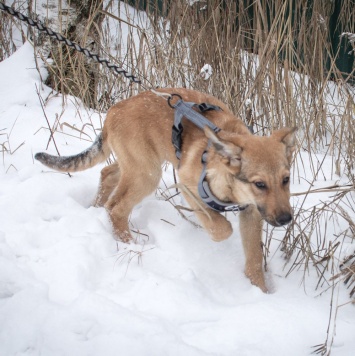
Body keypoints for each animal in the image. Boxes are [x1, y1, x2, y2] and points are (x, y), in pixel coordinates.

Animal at [36, 88, 298, 292]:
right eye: (260, 184)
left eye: (286, 179)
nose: (286, 219)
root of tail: (114, 110)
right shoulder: (188, 186)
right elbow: (221, 227)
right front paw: (216, 230)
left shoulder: (252, 212)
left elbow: (254, 259)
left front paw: (260, 292)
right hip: (146, 174)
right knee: (116, 207)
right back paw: (129, 243)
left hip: (138, 166)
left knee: (107, 174)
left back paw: (95, 208)